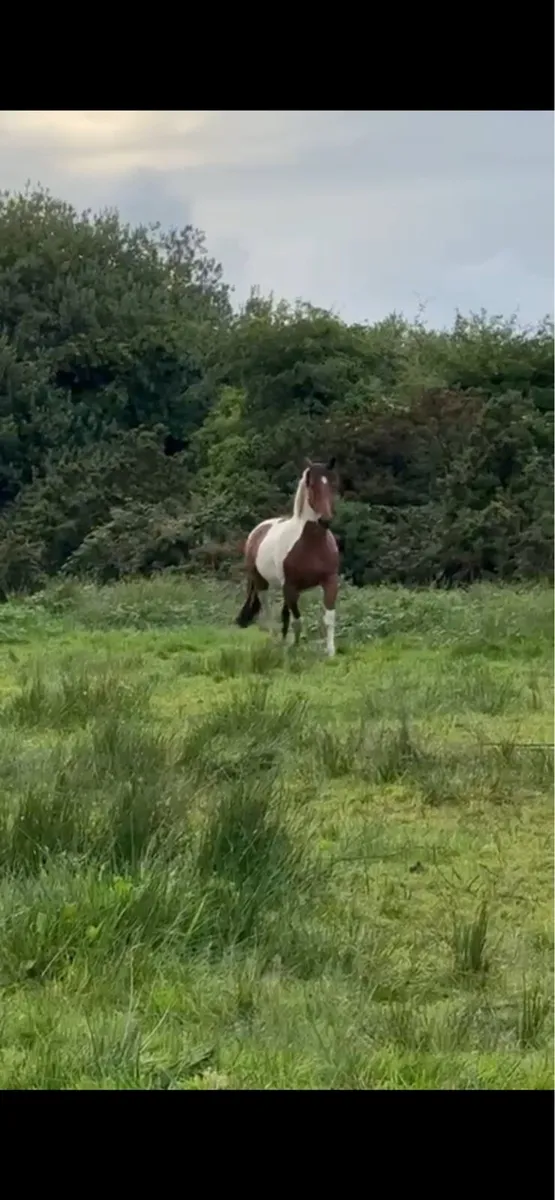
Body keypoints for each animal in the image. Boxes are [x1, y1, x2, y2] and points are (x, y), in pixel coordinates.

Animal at [235, 458, 340, 656]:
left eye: (331, 484)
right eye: (311, 485)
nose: (326, 520)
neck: (311, 544)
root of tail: (258, 531)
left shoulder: (330, 581)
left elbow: (329, 618)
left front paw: (330, 652)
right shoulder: (291, 587)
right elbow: (297, 621)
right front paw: (296, 649)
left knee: (283, 615)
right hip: (263, 584)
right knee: (269, 612)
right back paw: (274, 642)